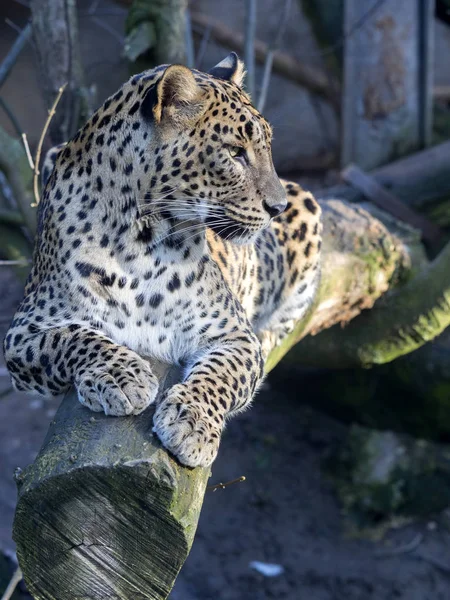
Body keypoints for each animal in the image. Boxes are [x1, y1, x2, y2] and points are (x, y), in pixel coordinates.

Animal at [2, 54, 320, 468]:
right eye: (235, 152)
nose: (276, 207)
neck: (140, 241)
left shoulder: (235, 335)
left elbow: (221, 375)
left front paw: (192, 422)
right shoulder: (24, 331)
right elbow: (71, 337)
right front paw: (122, 376)